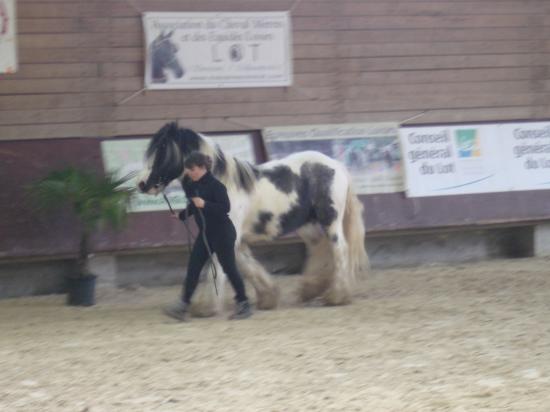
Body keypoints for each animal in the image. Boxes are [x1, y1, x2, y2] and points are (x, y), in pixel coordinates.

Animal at [139, 122, 370, 316]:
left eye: (162, 150)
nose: (142, 184)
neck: (222, 183)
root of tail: (336, 165)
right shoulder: (233, 238)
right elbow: (246, 265)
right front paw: (267, 297)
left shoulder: (224, 236)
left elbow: (220, 268)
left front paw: (207, 307)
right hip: (308, 225)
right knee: (318, 248)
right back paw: (311, 290)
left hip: (330, 220)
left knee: (339, 249)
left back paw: (337, 295)